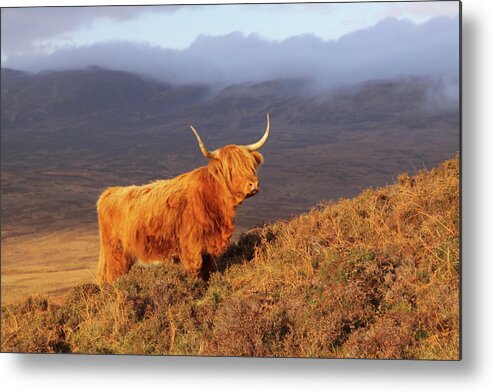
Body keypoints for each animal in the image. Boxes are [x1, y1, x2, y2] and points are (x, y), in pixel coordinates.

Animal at [95, 112, 270, 282]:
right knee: (112, 277)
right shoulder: (191, 246)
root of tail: (109, 192)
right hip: (116, 252)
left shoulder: (210, 249)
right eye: (231, 169)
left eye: (250, 165)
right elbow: (195, 271)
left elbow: (208, 272)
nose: (253, 184)